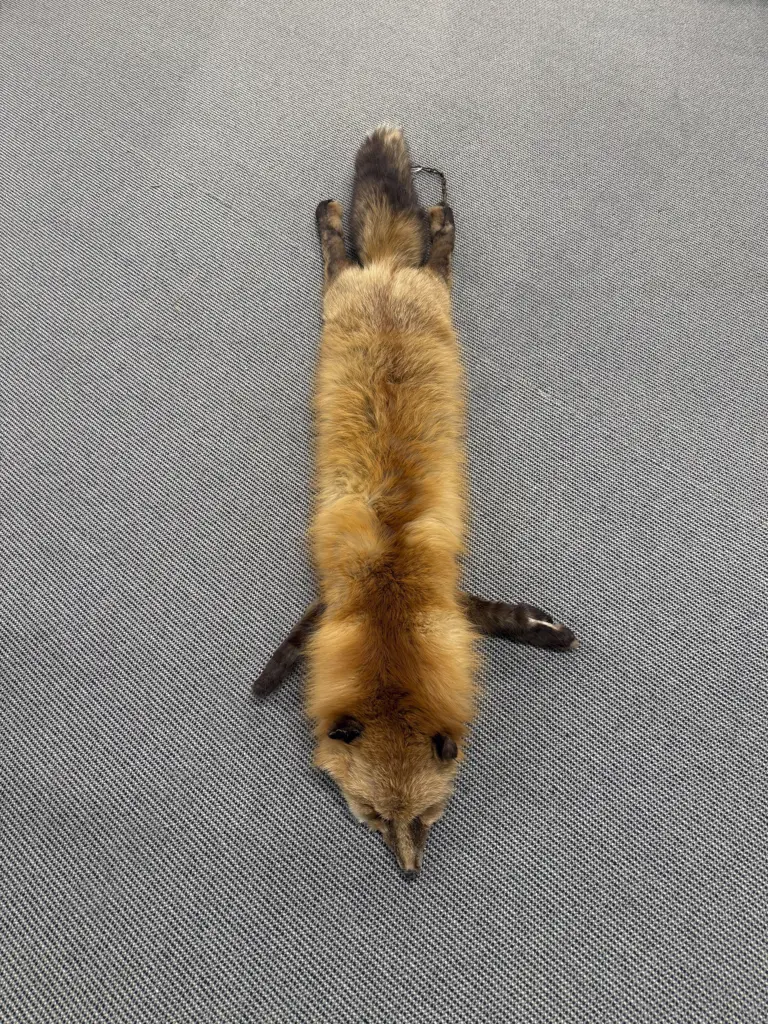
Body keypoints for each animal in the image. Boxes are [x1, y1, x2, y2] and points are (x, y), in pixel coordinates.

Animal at [255, 126, 577, 877]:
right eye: (376, 818)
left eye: (424, 820)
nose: (408, 873)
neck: (391, 579)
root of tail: (387, 275)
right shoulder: (336, 600)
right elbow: (292, 646)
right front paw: (267, 681)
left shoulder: (444, 592)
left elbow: (498, 615)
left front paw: (546, 631)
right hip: (356, 288)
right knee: (344, 254)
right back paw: (342, 217)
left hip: (426, 288)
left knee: (429, 253)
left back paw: (434, 218)